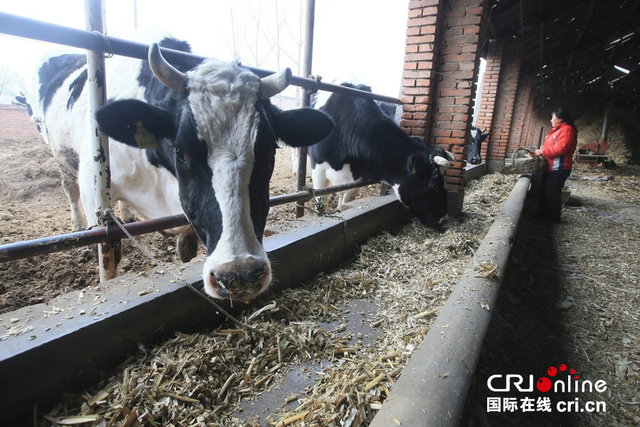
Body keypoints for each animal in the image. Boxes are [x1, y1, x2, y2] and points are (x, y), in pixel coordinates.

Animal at [28, 37, 336, 304]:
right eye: (181, 151)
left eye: (269, 150)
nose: (240, 274)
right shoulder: (95, 190)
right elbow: (108, 255)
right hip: (60, 155)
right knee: (69, 189)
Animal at [308, 80, 456, 227]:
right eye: (432, 186)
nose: (444, 219)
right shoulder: (318, 170)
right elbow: (321, 201)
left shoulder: (356, 177)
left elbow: (346, 200)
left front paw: (340, 210)